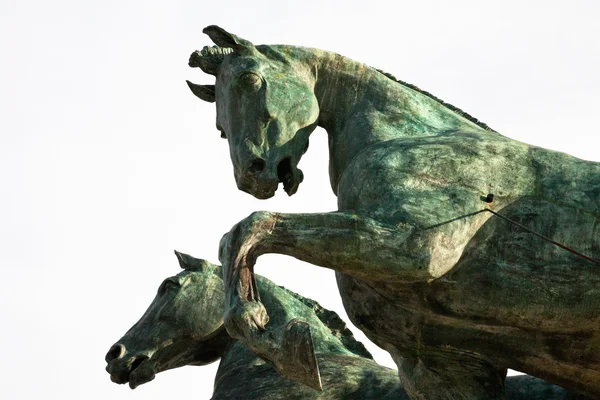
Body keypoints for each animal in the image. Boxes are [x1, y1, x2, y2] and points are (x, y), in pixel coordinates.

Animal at [188, 25, 600, 400]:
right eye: (220, 125)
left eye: (250, 79)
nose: (252, 174)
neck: (406, 136)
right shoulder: (445, 367)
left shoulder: (413, 246)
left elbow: (247, 230)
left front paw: (262, 327)